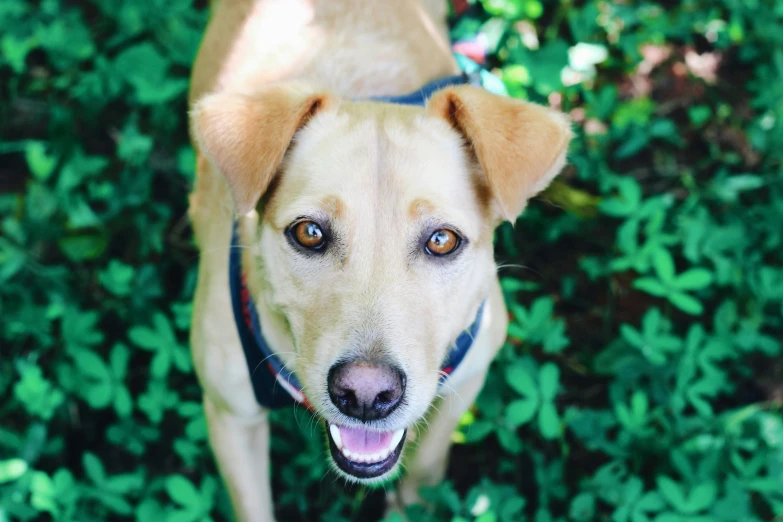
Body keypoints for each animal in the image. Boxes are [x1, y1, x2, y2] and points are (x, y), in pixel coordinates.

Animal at [187, 2, 572, 516]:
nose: (366, 394)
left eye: (442, 240)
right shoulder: (231, 417)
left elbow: (423, 475)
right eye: (309, 233)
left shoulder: (465, 383)